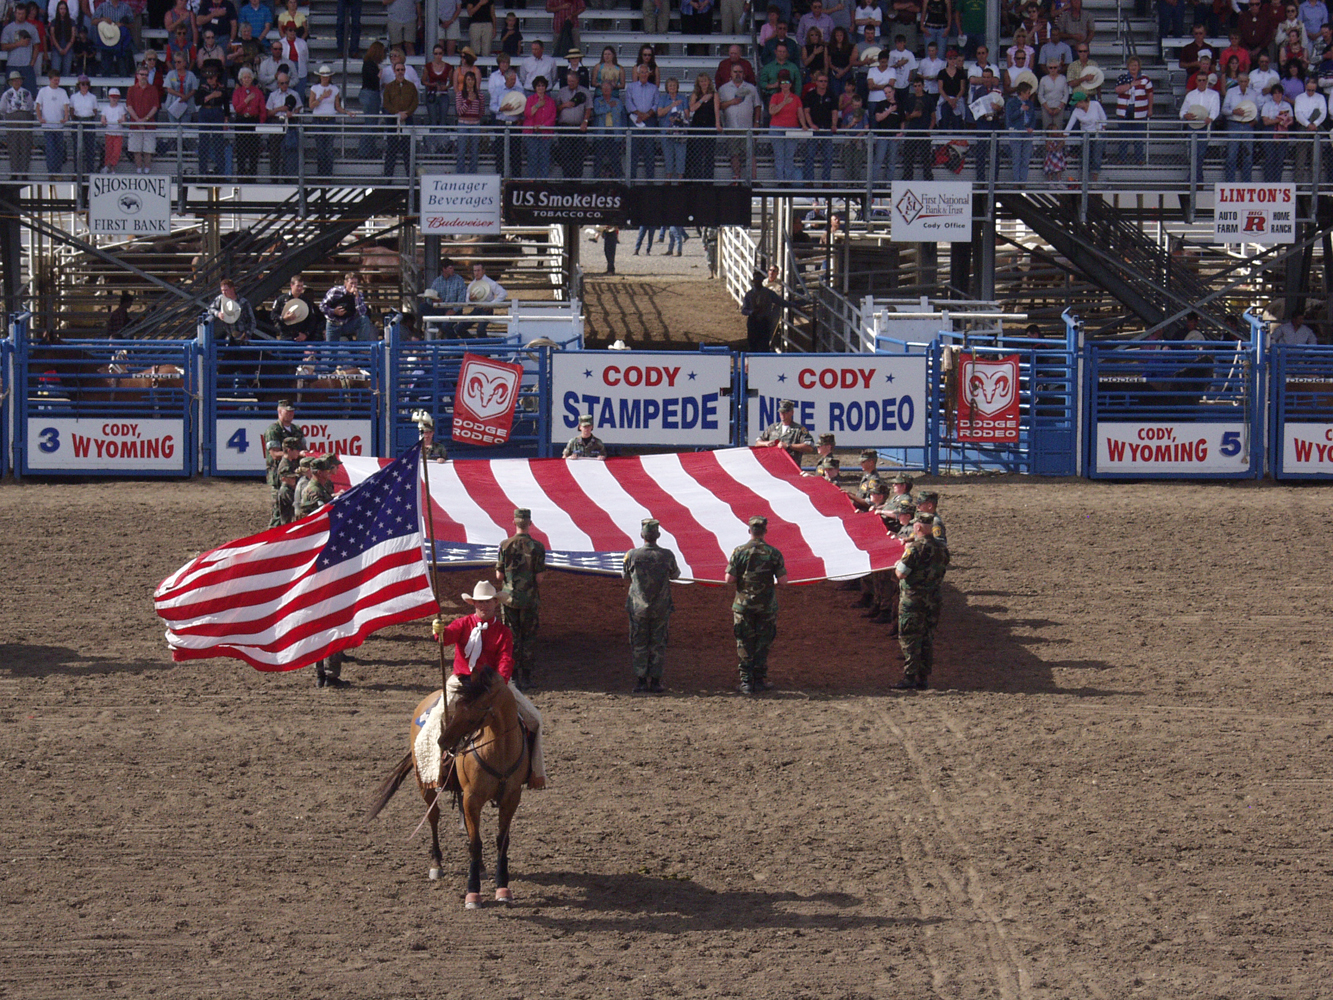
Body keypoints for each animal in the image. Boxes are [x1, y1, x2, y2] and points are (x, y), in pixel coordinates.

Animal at [370, 669, 530, 912]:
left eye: (475, 709)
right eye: (458, 707)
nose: (443, 741)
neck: (499, 751)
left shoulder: (511, 799)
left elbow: (502, 841)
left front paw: (503, 888)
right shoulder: (472, 799)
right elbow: (475, 843)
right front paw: (473, 893)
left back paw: (481, 867)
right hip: (425, 785)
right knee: (434, 818)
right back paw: (436, 864)